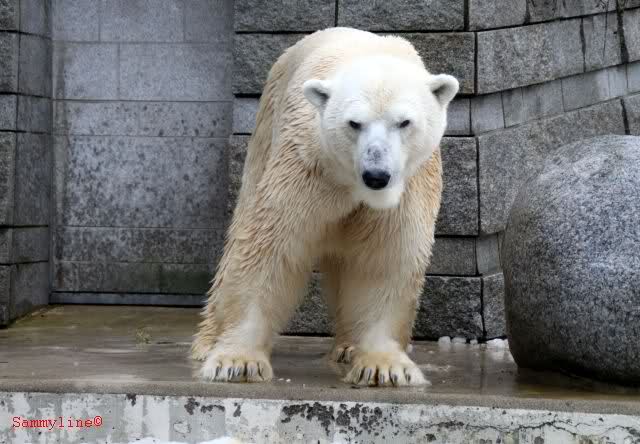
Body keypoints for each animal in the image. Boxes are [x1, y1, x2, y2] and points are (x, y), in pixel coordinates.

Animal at [191, 27, 459, 387]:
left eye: (404, 122)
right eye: (354, 123)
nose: (376, 175)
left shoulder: (409, 185)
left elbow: (385, 257)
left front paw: (384, 366)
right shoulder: (309, 165)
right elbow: (271, 247)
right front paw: (237, 361)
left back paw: (349, 345)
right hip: (266, 129)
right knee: (241, 227)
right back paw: (207, 341)